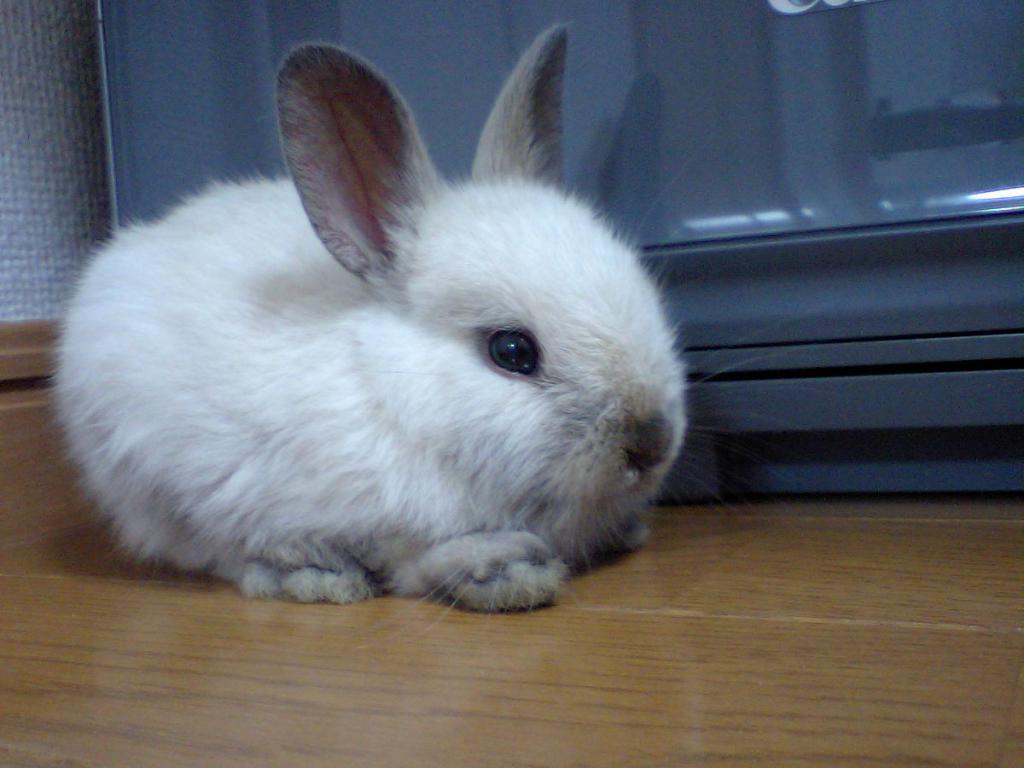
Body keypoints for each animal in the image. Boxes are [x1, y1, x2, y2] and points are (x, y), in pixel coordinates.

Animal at [54, 26, 686, 612]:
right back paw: (315, 578)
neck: (391, 392)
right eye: (511, 352)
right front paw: (505, 570)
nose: (652, 442)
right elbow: (410, 562)